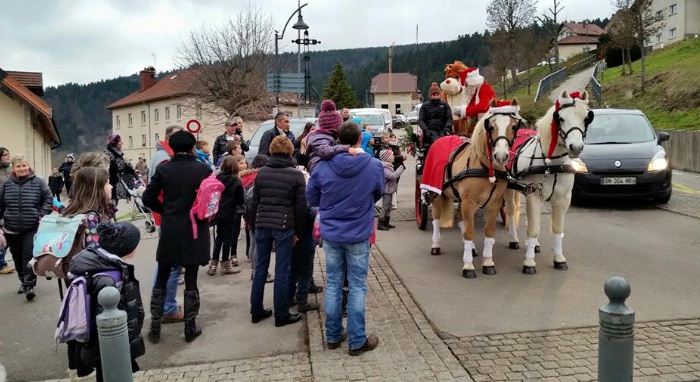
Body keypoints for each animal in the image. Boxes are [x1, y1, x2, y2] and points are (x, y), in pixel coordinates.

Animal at [432, 98, 524, 278]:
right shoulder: (469, 202)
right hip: (436, 194)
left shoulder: (494, 203)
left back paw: (472, 249)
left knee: (461, 220)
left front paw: (488, 262)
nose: (500, 156)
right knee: (436, 219)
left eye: (514, 127)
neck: (485, 168)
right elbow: (469, 232)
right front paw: (468, 266)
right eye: (491, 126)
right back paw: (435, 245)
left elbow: (488, 231)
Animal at [506, 89, 592, 274]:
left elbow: (557, 229)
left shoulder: (562, 199)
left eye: (586, 118)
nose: (576, 147)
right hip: (508, 189)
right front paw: (529, 262)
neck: (551, 164)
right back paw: (514, 239)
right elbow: (533, 229)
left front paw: (559, 258)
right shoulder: (533, 195)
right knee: (511, 212)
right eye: (561, 118)